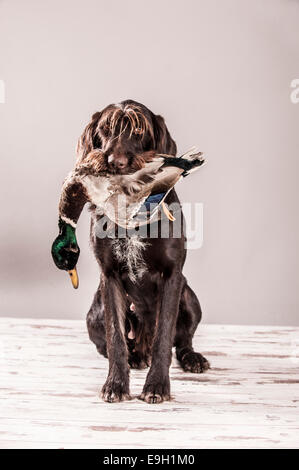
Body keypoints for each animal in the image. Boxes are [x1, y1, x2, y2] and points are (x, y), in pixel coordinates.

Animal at [78, 101, 211, 402]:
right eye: (105, 129)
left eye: (139, 130)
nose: (115, 162)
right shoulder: (110, 276)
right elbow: (115, 338)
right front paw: (115, 384)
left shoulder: (173, 275)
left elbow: (164, 335)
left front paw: (157, 385)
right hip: (94, 313)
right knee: (112, 345)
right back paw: (135, 357)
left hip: (190, 297)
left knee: (182, 341)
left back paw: (192, 358)